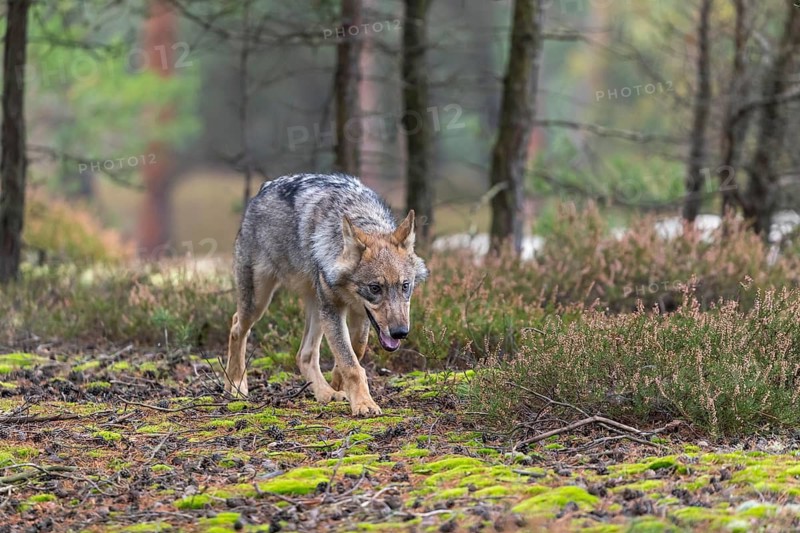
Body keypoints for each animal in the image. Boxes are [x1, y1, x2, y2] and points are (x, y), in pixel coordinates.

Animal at [224, 173, 428, 416]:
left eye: (405, 285)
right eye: (375, 288)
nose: (400, 333)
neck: (361, 214)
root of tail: (261, 191)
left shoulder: (359, 315)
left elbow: (355, 353)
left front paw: (340, 385)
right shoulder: (333, 310)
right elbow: (351, 363)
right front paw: (364, 403)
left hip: (316, 308)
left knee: (304, 354)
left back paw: (325, 393)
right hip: (260, 302)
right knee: (236, 326)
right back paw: (236, 385)